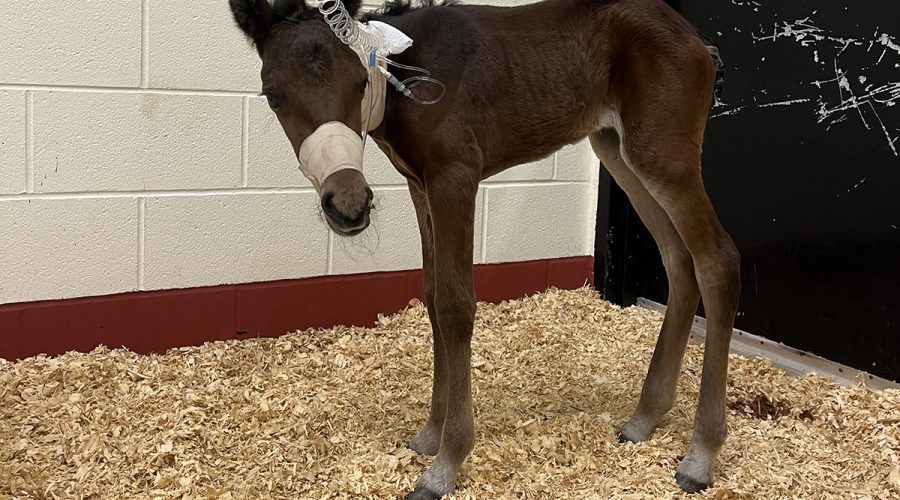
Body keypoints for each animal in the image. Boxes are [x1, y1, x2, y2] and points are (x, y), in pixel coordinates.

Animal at [230, 0, 740, 496]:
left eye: (358, 83)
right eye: (273, 94)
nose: (349, 205)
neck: (408, 73)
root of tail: (699, 43)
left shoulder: (455, 175)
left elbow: (457, 305)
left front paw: (445, 464)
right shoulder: (420, 184)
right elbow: (433, 296)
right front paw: (429, 436)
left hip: (663, 153)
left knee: (718, 258)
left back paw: (700, 457)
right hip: (617, 148)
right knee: (679, 259)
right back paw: (644, 419)